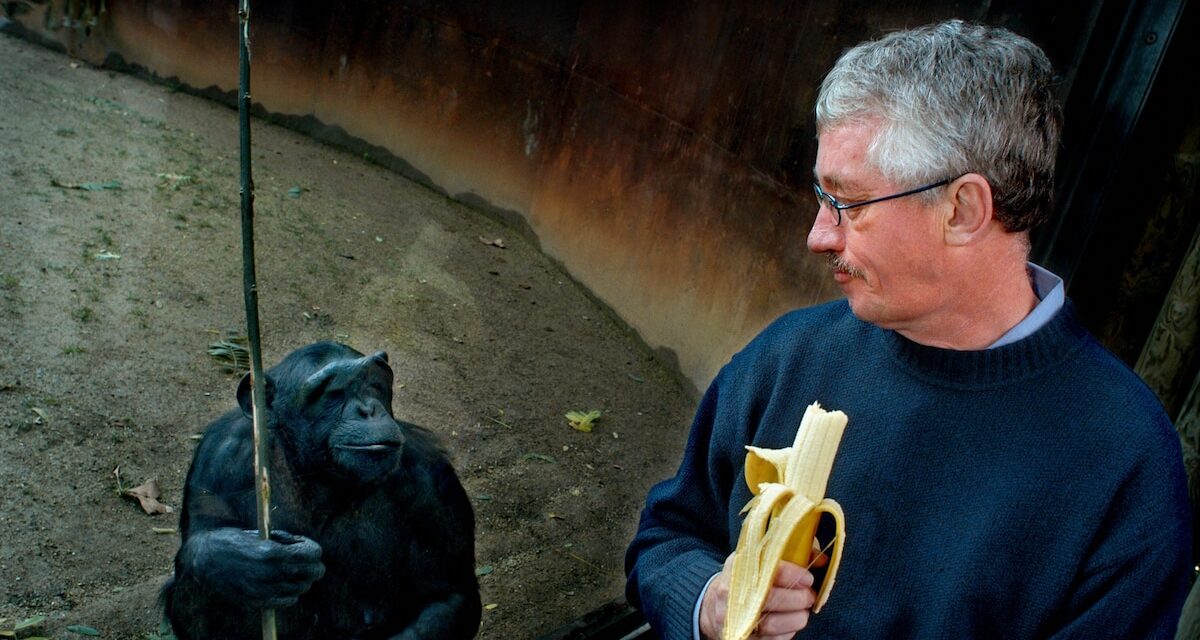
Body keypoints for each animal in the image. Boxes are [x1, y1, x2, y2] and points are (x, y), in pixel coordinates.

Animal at [162, 341, 480, 638]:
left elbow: (448, 594)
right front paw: (236, 562)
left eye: (375, 385)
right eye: (334, 393)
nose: (368, 409)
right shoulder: (218, 457)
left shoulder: (432, 480)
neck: (319, 472)